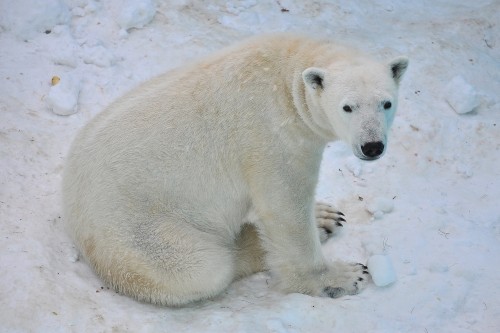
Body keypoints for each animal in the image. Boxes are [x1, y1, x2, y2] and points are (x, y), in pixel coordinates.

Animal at [62, 33, 408, 304]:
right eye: (347, 107)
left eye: (386, 103)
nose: (372, 146)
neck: (287, 77)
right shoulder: (272, 137)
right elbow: (285, 209)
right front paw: (344, 276)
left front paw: (323, 216)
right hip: (137, 235)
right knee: (202, 268)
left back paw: (323, 218)